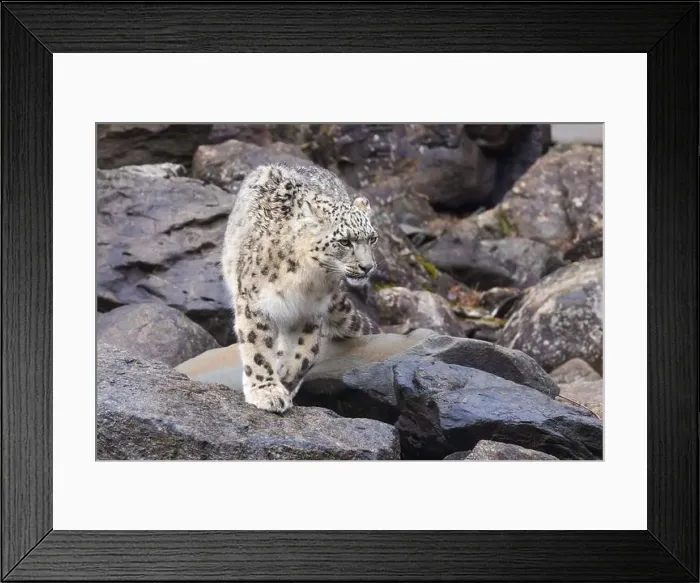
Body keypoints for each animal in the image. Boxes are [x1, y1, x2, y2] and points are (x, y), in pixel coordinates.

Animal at [221, 162, 381, 414]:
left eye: (372, 238)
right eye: (344, 241)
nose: (367, 267)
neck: (307, 282)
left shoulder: (310, 311)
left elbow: (306, 352)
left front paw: (286, 378)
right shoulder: (254, 303)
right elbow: (258, 348)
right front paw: (268, 392)